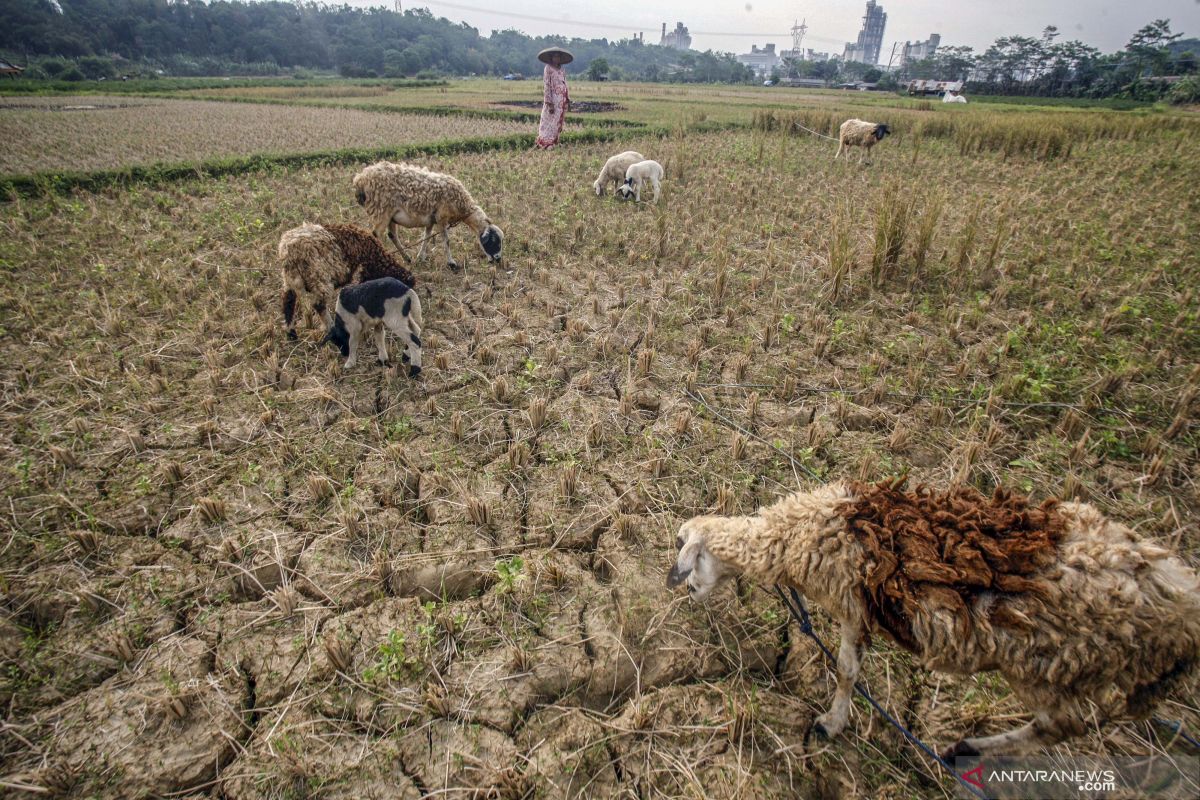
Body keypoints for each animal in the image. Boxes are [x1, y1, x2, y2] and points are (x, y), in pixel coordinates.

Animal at [279, 221, 420, 340]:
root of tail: (289, 249)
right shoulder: (359, 275)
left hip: (290, 279)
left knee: (288, 300)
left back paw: (291, 333)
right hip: (319, 277)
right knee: (319, 305)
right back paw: (332, 330)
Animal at [350, 160, 501, 272]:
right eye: (494, 241)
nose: (498, 259)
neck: (462, 205)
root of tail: (360, 179)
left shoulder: (431, 220)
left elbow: (426, 237)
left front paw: (421, 257)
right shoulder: (441, 218)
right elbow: (446, 241)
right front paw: (451, 263)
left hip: (390, 215)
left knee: (392, 235)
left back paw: (407, 258)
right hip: (381, 210)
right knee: (375, 235)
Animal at [667, 479, 1200, 762]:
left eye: (687, 552)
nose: (681, 588)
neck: (799, 533)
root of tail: (1176, 596)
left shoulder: (853, 608)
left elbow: (847, 671)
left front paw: (829, 724)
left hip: (1048, 663)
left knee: (1060, 726)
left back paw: (970, 749)